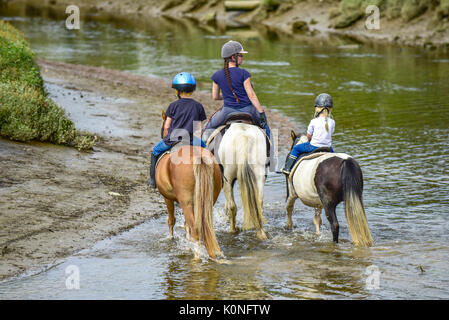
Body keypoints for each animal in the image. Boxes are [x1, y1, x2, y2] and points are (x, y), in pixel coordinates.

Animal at [155, 111, 223, 258]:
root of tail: (199, 157)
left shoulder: (167, 198)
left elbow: (171, 220)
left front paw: (171, 238)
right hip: (208, 200)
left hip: (185, 202)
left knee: (195, 229)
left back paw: (197, 257)